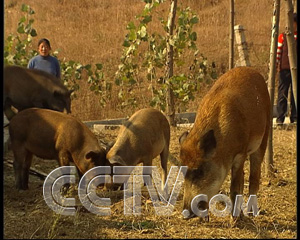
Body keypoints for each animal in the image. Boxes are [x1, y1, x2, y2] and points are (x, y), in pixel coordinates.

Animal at [179, 66, 270, 218]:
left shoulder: (240, 153)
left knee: (253, 178)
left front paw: (235, 219)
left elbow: (235, 187)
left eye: (199, 171)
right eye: (182, 172)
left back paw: (251, 213)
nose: (185, 214)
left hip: (264, 138)